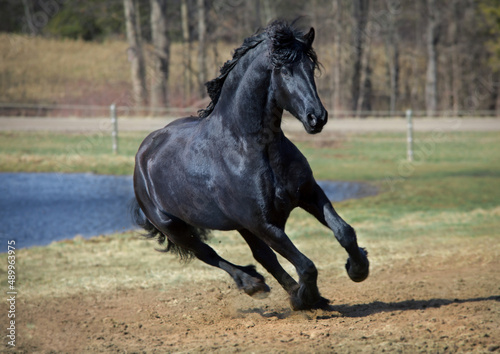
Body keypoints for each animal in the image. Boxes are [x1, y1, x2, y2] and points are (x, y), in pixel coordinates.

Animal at [132, 20, 368, 312]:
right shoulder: (261, 223)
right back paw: (253, 284)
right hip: (175, 228)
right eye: (284, 70)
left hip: (241, 226)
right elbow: (306, 265)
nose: (317, 118)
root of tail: (145, 151)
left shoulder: (309, 194)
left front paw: (357, 268)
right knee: (208, 254)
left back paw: (285, 290)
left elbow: (344, 232)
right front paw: (308, 298)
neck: (250, 147)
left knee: (262, 256)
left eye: (311, 68)